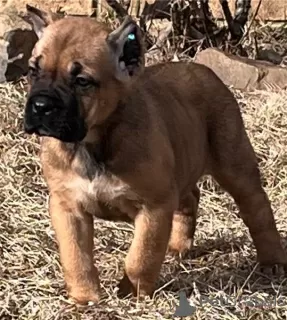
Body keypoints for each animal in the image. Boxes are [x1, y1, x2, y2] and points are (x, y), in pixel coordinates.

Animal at [23, 5, 286, 304]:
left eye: (82, 81)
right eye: (33, 71)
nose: (40, 105)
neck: (92, 142)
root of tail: (200, 68)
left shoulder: (154, 206)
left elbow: (141, 256)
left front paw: (132, 294)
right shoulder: (67, 206)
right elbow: (76, 255)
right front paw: (85, 298)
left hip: (235, 165)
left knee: (257, 208)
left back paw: (272, 261)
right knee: (189, 199)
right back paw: (178, 246)